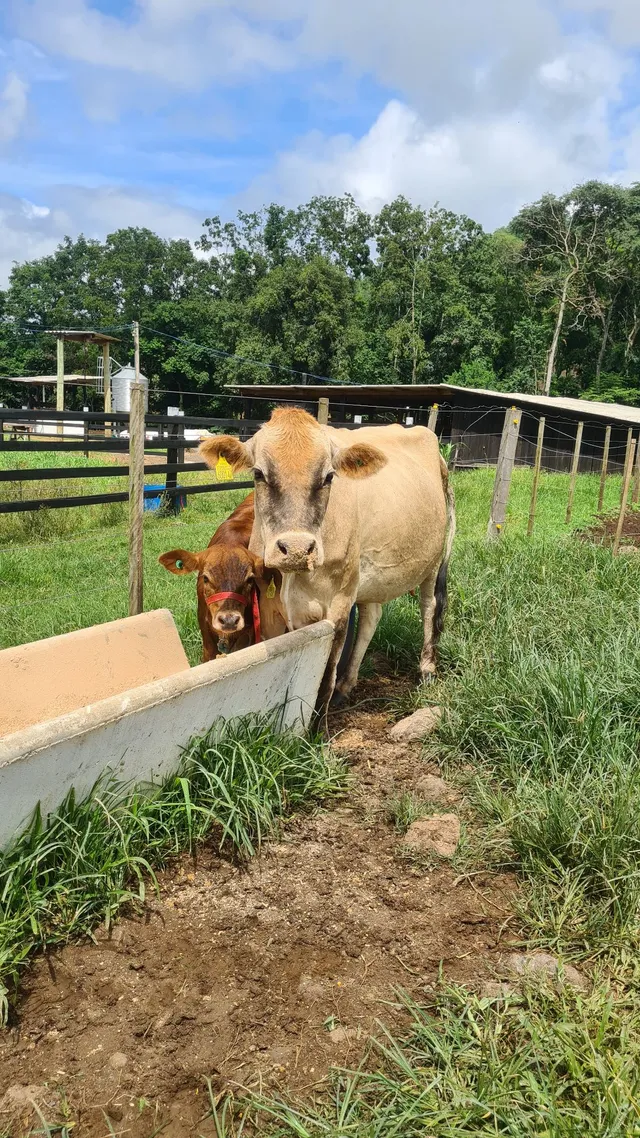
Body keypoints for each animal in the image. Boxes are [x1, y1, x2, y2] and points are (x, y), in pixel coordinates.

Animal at [198, 408, 455, 707]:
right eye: (259, 473)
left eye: (330, 476)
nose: (296, 549)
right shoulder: (268, 607)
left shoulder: (338, 607)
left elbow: (323, 683)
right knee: (371, 617)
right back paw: (347, 685)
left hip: (431, 563)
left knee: (429, 608)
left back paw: (427, 670)